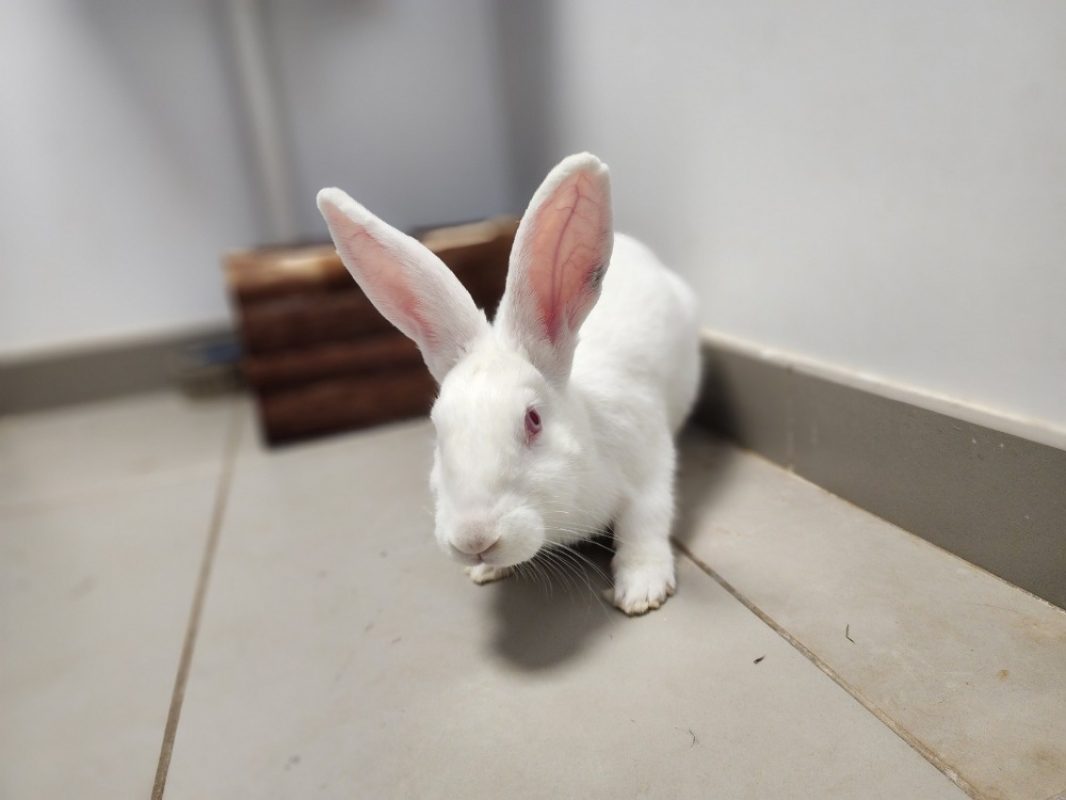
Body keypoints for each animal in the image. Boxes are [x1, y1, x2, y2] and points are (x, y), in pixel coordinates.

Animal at [316, 153, 701, 615]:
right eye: (438, 430)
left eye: (533, 420)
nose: (474, 539)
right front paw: (485, 572)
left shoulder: (649, 465)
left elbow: (644, 525)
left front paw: (641, 592)